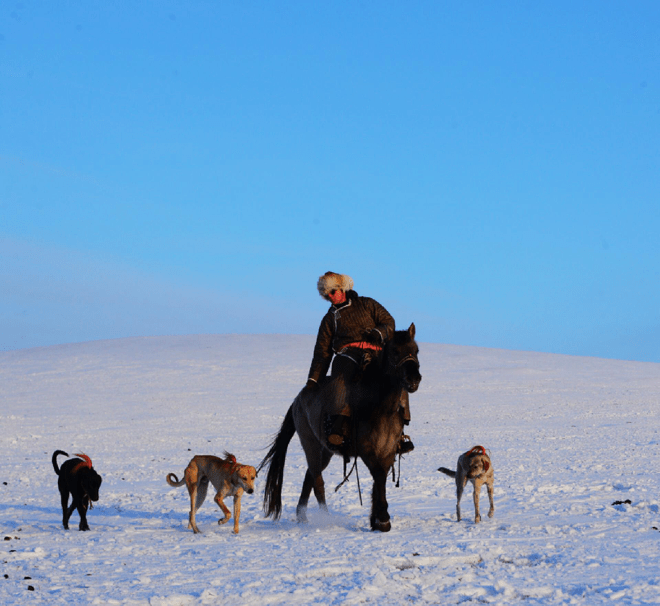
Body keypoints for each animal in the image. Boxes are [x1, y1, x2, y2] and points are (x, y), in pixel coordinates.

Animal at [260, 324, 422, 532]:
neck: (381, 409)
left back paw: (302, 516)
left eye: (416, 350)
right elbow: (378, 477)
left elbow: (379, 480)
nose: (414, 379)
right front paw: (383, 519)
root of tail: (298, 399)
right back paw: (325, 517)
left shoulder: (387, 451)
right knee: (317, 481)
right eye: (394, 351)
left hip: (326, 451)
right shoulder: (367, 451)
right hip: (311, 444)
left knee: (309, 477)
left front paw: (375, 521)